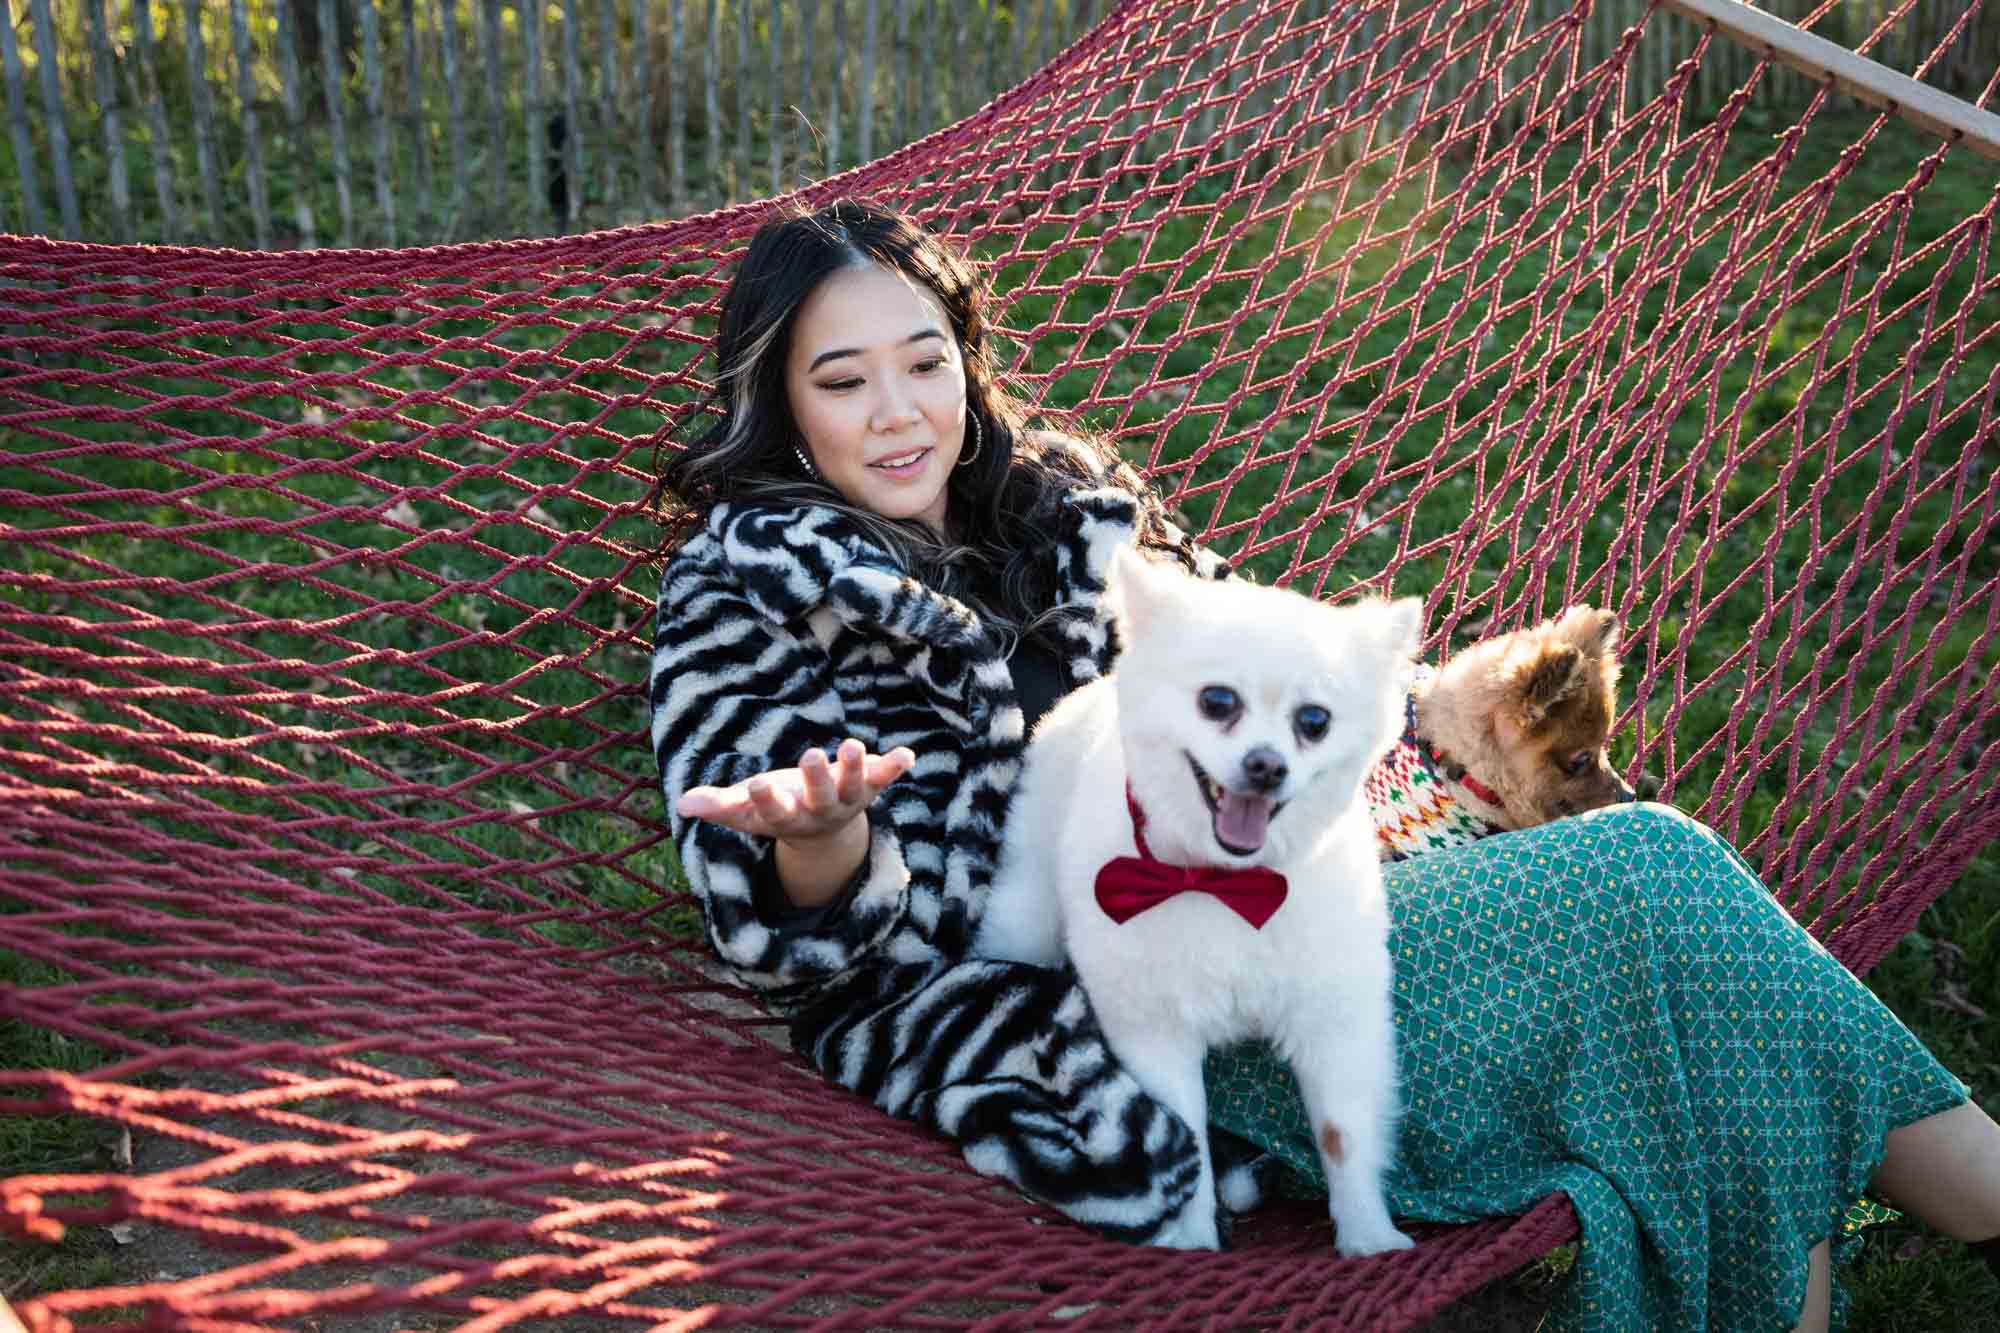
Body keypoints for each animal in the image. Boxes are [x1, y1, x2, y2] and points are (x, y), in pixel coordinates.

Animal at [972, 544, 1416, 1248]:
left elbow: (1342, 1135)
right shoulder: (1156, 1028)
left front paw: (1369, 1237)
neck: (1226, 881)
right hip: (1027, 913)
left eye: (1314, 722)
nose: (1267, 765)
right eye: (1217, 701)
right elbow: (1186, 1143)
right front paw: (1190, 1238)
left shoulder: (1335, 1020)